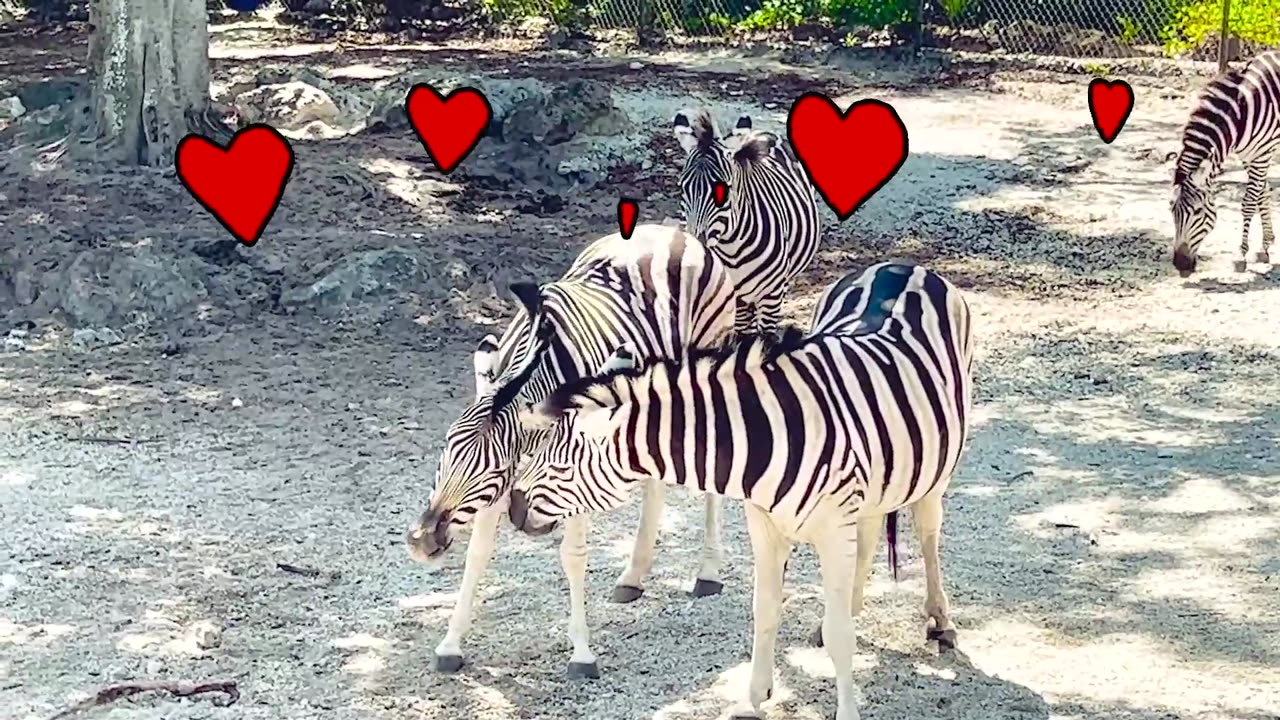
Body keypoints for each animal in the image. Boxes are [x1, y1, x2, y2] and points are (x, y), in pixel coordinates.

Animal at [401, 224, 742, 676]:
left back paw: (707, 574)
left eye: (491, 470)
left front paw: (581, 652)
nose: (420, 541)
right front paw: (451, 643)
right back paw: (633, 576)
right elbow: (478, 552)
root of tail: (672, 230)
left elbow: (574, 554)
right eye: (446, 452)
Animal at [504, 260, 972, 717]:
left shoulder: (832, 527)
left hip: (937, 467)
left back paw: (940, 621)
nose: (513, 507)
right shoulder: (763, 524)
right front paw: (752, 700)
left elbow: (841, 635)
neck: (769, 438)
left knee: (928, 532)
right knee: (871, 535)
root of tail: (901, 265)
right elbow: (764, 610)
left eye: (561, 463)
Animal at [670, 107, 819, 335]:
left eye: (724, 190)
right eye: (683, 188)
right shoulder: (736, 296)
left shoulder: (771, 295)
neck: (733, 250)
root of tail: (765, 132)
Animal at [1172, 47, 1280, 271]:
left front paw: (1241, 255)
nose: (1180, 265)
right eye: (1172, 212)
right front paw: (1265, 246)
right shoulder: (1249, 154)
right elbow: (1262, 193)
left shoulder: (1262, 153)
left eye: (1197, 211)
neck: (1241, 113)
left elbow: (1249, 201)